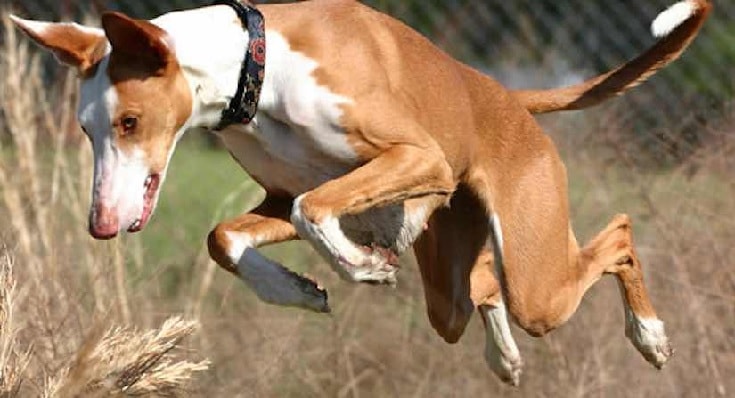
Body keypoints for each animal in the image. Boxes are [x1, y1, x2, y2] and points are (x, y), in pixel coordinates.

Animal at [12, 0, 712, 386]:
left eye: (130, 122)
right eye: (86, 129)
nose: (102, 224)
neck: (257, 66)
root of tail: (507, 97)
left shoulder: (417, 157)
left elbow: (313, 208)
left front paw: (359, 266)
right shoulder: (279, 196)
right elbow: (225, 235)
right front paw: (296, 288)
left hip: (536, 278)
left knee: (618, 234)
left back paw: (650, 335)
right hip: (452, 282)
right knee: (482, 288)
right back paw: (506, 357)